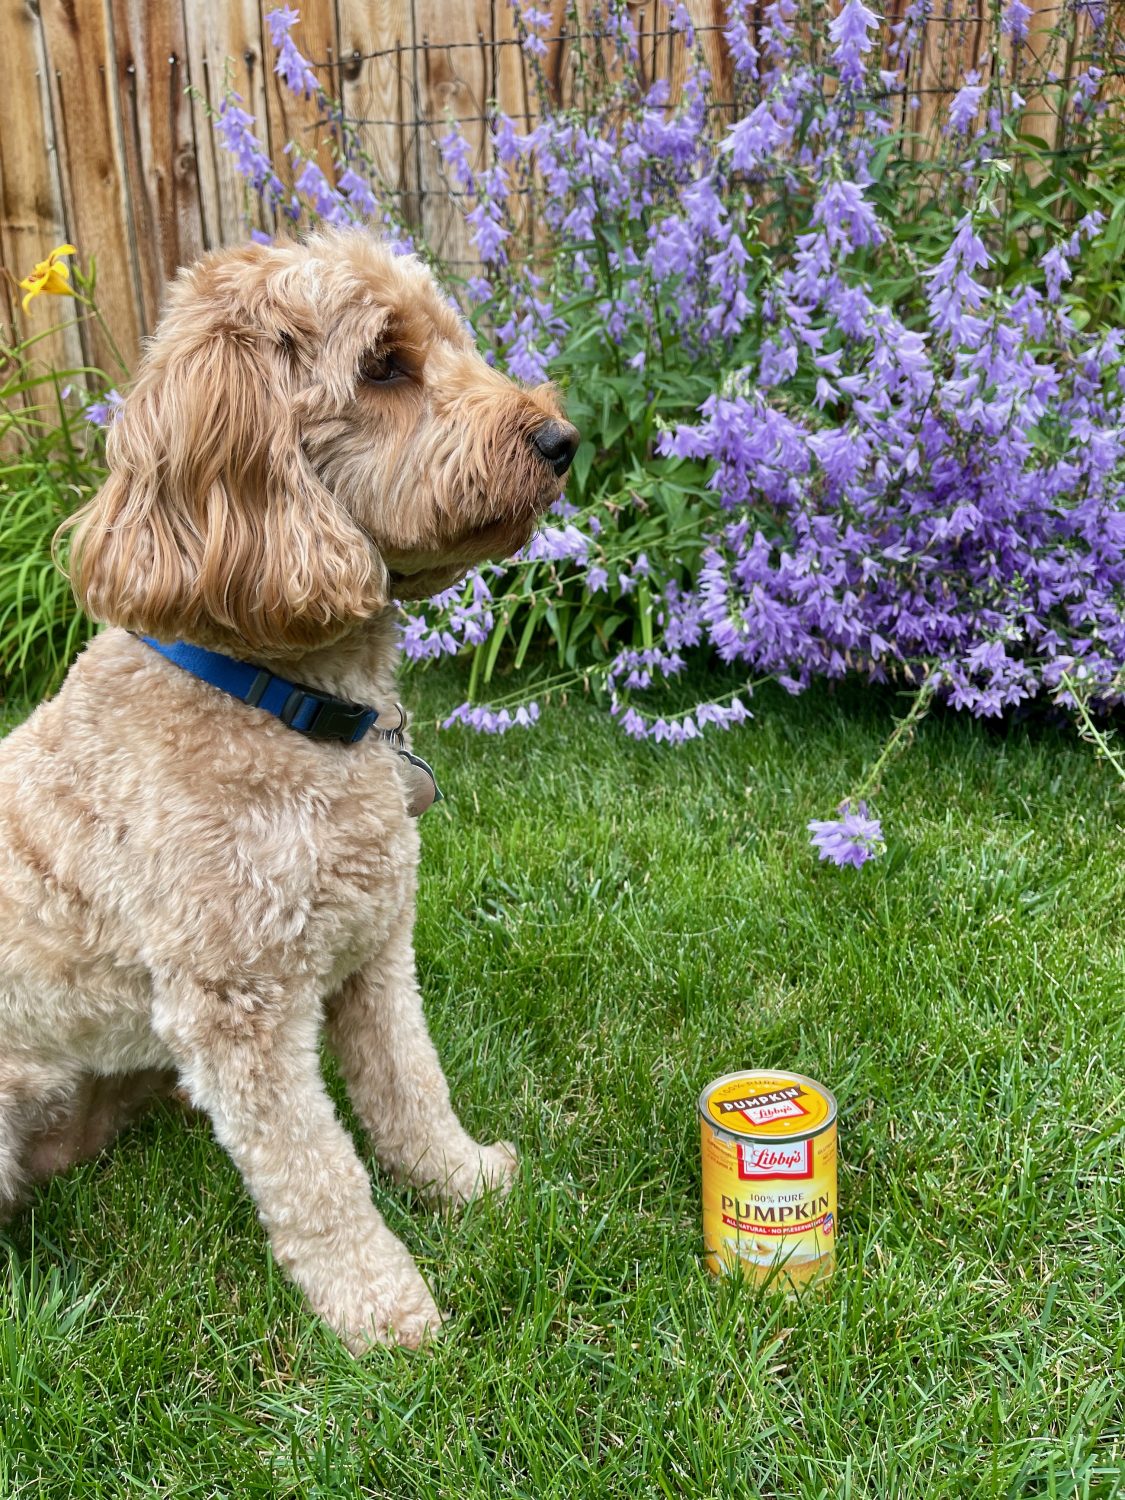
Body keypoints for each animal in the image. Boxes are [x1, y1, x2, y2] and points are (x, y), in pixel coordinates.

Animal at [0, 228, 582, 1356]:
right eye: (384, 367)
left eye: (453, 344)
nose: (563, 439)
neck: (283, 704)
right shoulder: (238, 1008)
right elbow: (317, 1174)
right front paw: (386, 1313)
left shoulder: (376, 950)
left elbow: (410, 1086)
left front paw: (465, 1182)